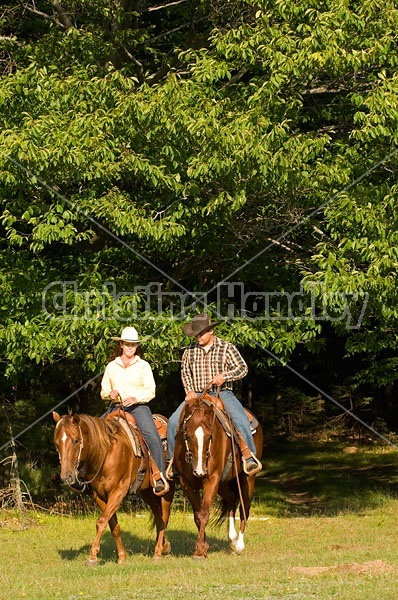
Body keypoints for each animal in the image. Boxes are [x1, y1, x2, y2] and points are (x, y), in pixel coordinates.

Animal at [52, 410, 174, 564]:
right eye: (57, 443)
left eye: (76, 440)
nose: (66, 477)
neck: (106, 452)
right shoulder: (99, 495)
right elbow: (112, 525)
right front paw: (121, 556)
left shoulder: (118, 492)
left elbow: (101, 521)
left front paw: (92, 556)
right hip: (147, 493)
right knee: (158, 517)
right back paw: (164, 547)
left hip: (166, 492)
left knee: (164, 518)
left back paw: (158, 552)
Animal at [173, 396, 262, 560]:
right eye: (187, 436)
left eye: (210, 436)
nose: (200, 472)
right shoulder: (187, 483)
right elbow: (197, 515)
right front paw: (203, 548)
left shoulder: (212, 480)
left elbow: (204, 513)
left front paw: (200, 551)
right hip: (224, 484)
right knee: (232, 499)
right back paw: (232, 537)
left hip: (247, 478)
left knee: (244, 508)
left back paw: (239, 545)